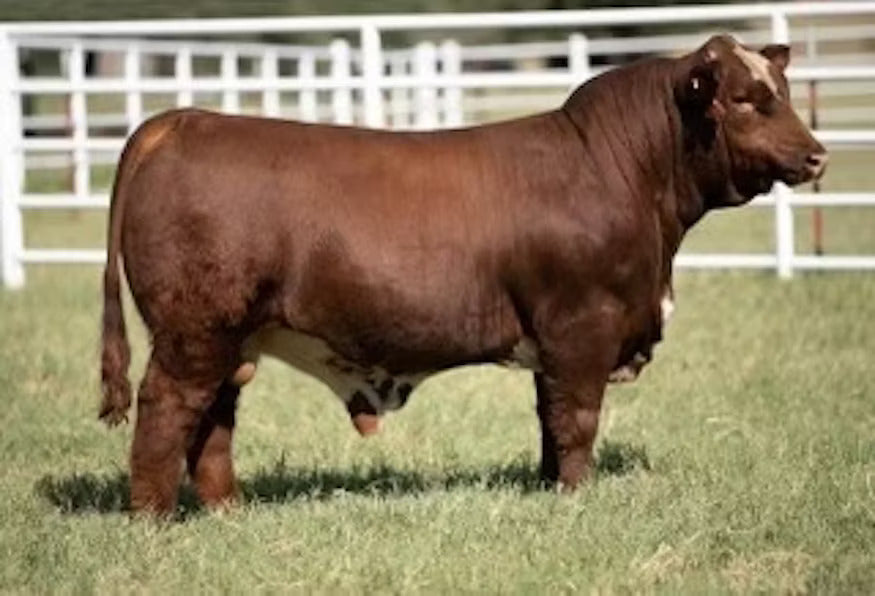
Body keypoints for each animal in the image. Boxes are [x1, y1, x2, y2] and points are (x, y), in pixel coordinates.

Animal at [99, 34, 826, 515]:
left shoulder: (553, 341)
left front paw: (548, 488)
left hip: (230, 336)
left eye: (783, 94)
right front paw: (576, 497)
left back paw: (229, 510)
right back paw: (155, 519)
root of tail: (181, 121)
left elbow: (547, 418)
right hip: (195, 331)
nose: (817, 155)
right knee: (167, 410)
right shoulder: (582, 325)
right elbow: (576, 418)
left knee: (213, 420)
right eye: (744, 100)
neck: (628, 174)